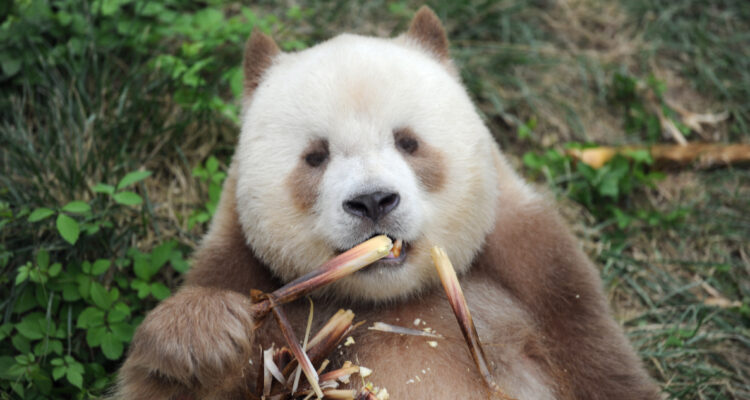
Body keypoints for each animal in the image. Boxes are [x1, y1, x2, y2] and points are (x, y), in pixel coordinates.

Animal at [116, 7, 659, 400]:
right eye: (316, 156)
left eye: (408, 142)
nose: (373, 201)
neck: (393, 300)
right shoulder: (240, 267)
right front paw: (201, 336)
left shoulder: (544, 280)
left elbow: (606, 374)